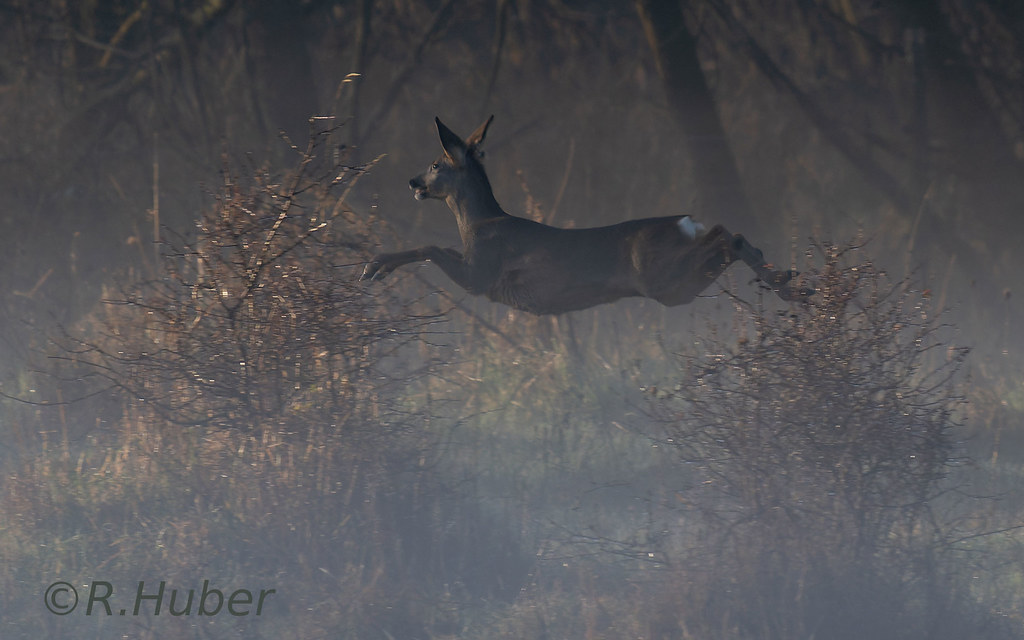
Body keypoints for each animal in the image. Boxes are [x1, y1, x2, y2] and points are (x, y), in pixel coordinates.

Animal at [360, 116, 810, 315]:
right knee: (728, 235)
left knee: (727, 233)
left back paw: (784, 283)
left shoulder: (481, 274)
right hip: (676, 285)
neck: (478, 223)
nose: (412, 182)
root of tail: (685, 223)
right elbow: (434, 247)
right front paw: (374, 265)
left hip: (662, 278)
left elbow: (428, 246)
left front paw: (375, 265)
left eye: (436, 163)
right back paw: (787, 281)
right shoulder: (477, 268)